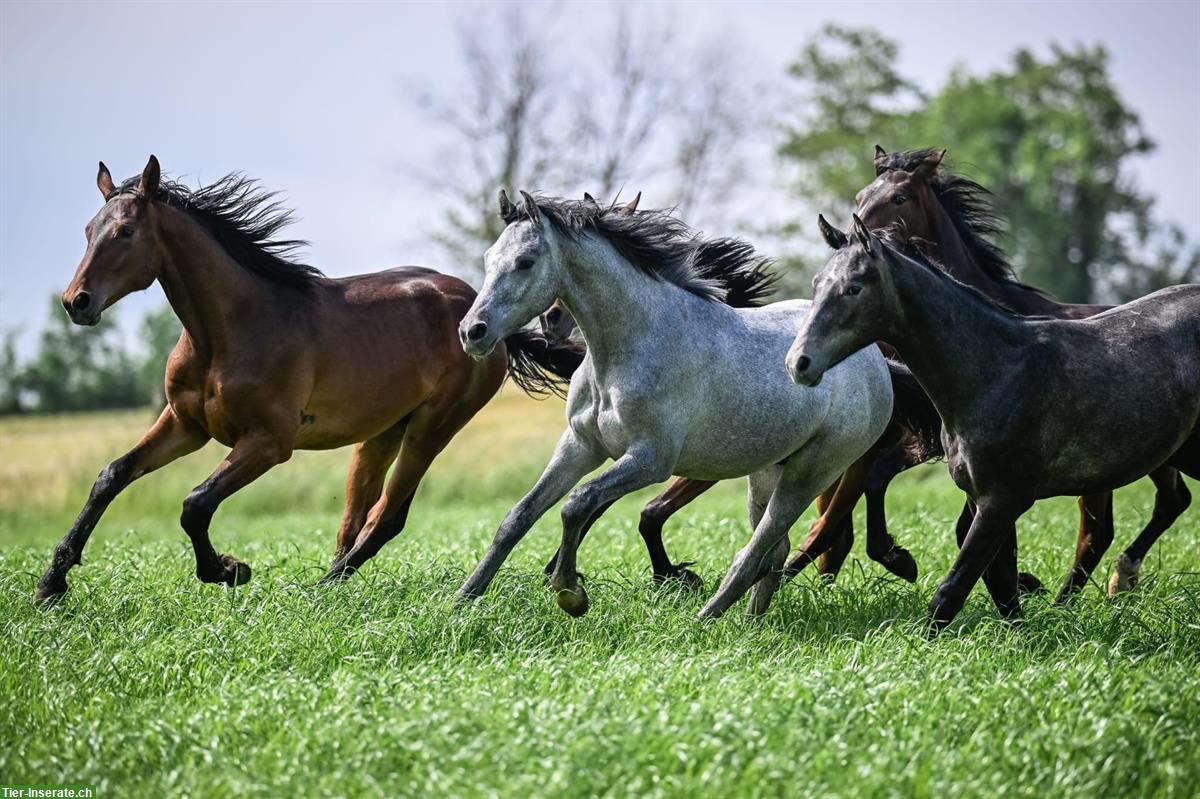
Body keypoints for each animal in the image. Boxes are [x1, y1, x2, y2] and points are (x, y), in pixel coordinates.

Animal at [35, 155, 578, 599]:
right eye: (89, 229)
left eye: (125, 231)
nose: (76, 302)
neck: (229, 331)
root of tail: (487, 321)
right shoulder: (185, 425)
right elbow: (112, 476)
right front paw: (51, 583)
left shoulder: (269, 443)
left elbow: (195, 503)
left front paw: (229, 570)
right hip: (383, 432)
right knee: (357, 519)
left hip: (432, 428)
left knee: (387, 517)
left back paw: (319, 591)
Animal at [787, 218, 1200, 628]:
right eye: (817, 283)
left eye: (853, 288)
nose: (798, 363)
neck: (996, 370)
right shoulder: (977, 496)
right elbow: (999, 583)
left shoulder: (1002, 500)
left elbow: (953, 590)